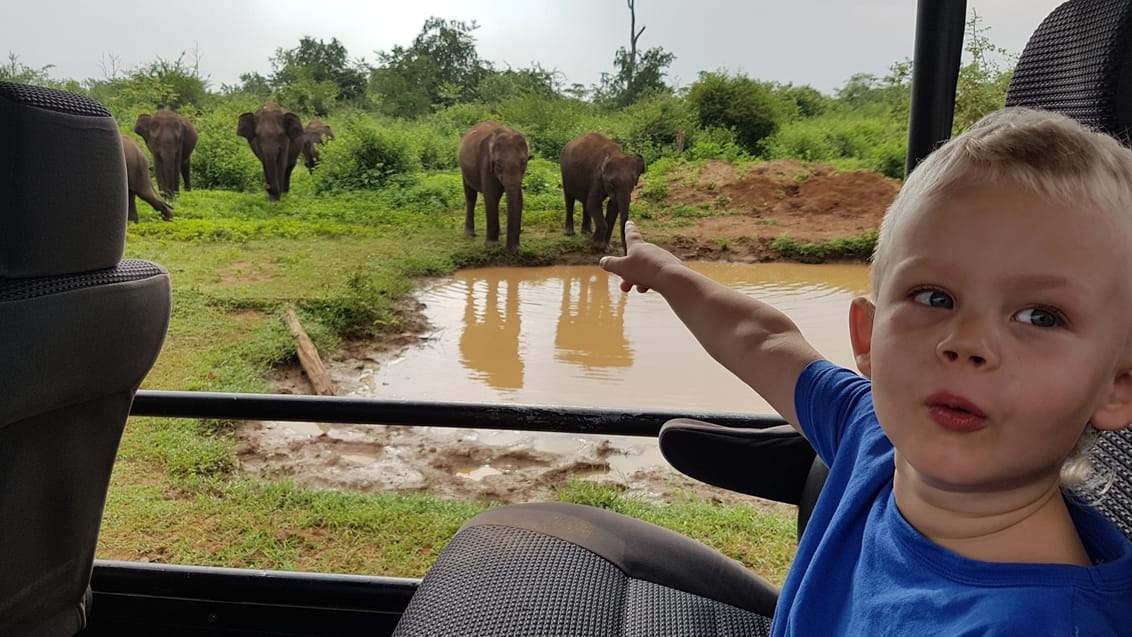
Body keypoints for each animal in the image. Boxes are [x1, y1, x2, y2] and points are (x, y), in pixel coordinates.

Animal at [455, 122, 529, 254]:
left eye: (524, 162)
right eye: (498, 163)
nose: (511, 250)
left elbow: (518, 197)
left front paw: (516, 247)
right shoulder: (485, 162)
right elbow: (491, 195)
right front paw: (492, 246)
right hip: (464, 170)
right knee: (470, 196)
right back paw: (469, 235)